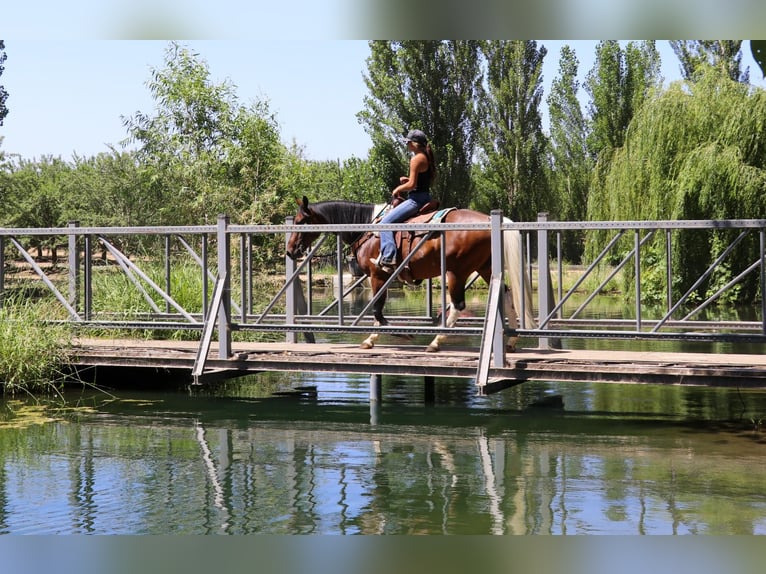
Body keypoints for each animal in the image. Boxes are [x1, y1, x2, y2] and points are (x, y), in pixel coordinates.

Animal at [285, 196, 536, 353]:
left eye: (300, 221)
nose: (289, 250)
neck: (367, 227)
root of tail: (490, 220)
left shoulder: (378, 275)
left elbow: (377, 309)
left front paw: (393, 335)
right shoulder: (384, 278)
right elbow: (377, 309)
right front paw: (374, 338)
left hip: (457, 271)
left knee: (457, 306)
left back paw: (435, 342)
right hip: (485, 268)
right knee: (507, 295)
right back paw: (512, 341)